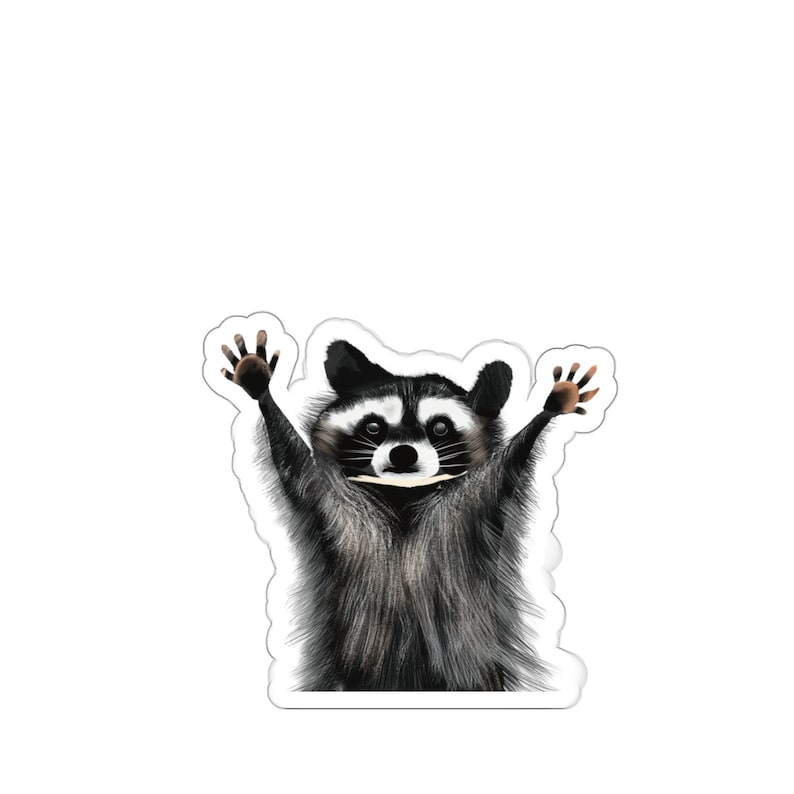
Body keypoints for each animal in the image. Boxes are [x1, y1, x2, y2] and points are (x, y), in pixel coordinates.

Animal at [220, 330, 598, 691]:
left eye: (440, 428)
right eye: (373, 427)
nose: (403, 453)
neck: (402, 497)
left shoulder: (476, 502)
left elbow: (510, 460)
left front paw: (550, 408)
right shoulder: (331, 502)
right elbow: (296, 464)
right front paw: (260, 387)